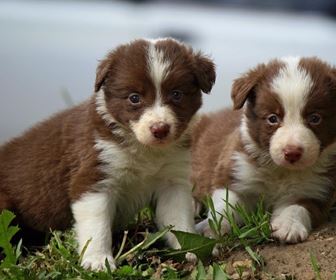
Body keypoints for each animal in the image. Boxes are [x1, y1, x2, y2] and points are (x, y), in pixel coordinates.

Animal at [0, 38, 215, 270]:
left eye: (176, 94)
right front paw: (98, 261)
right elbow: (97, 226)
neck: (143, 149)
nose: (160, 129)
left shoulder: (172, 181)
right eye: (134, 98)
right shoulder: (94, 178)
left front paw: (191, 250)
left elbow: (178, 219)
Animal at [192, 56, 336, 243]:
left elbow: (298, 207)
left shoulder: (317, 190)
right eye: (272, 118)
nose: (292, 153)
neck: (280, 170)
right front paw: (213, 226)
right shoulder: (234, 171)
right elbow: (226, 204)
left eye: (315, 118)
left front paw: (288, 226)